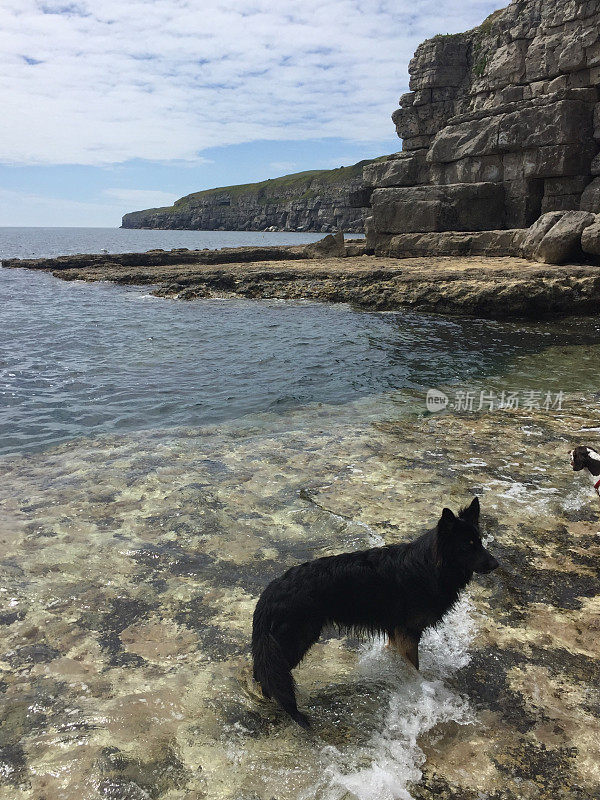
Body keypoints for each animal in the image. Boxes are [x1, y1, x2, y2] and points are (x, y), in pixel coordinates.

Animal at [252, 500, 496, 732]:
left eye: (480, 542)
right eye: (467, 546)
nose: (497, 564)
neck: (430, 567)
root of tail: (271, 590)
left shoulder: (396, 633)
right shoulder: (408, 632)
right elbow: (414, 669)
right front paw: (418, 688)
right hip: (295, 642)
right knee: (268, 677)